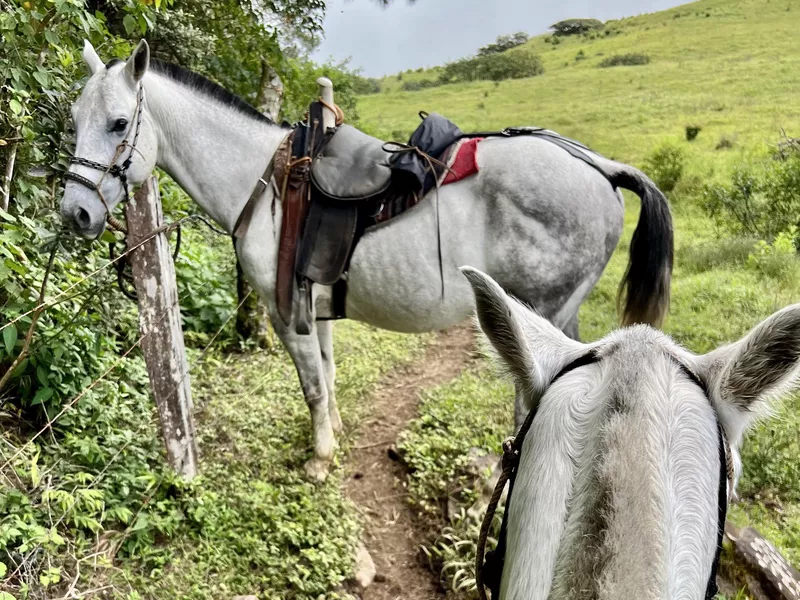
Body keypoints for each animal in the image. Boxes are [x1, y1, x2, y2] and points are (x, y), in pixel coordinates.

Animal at [59, 39, 676, 480]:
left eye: (119, 123)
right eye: (74, 119)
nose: (75, 212)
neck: (265, 180)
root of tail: (600, 166)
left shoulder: (284, 313)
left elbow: (310, 384)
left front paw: (319, 458)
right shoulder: (315, 304)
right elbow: (328, 375)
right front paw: (333, 430)